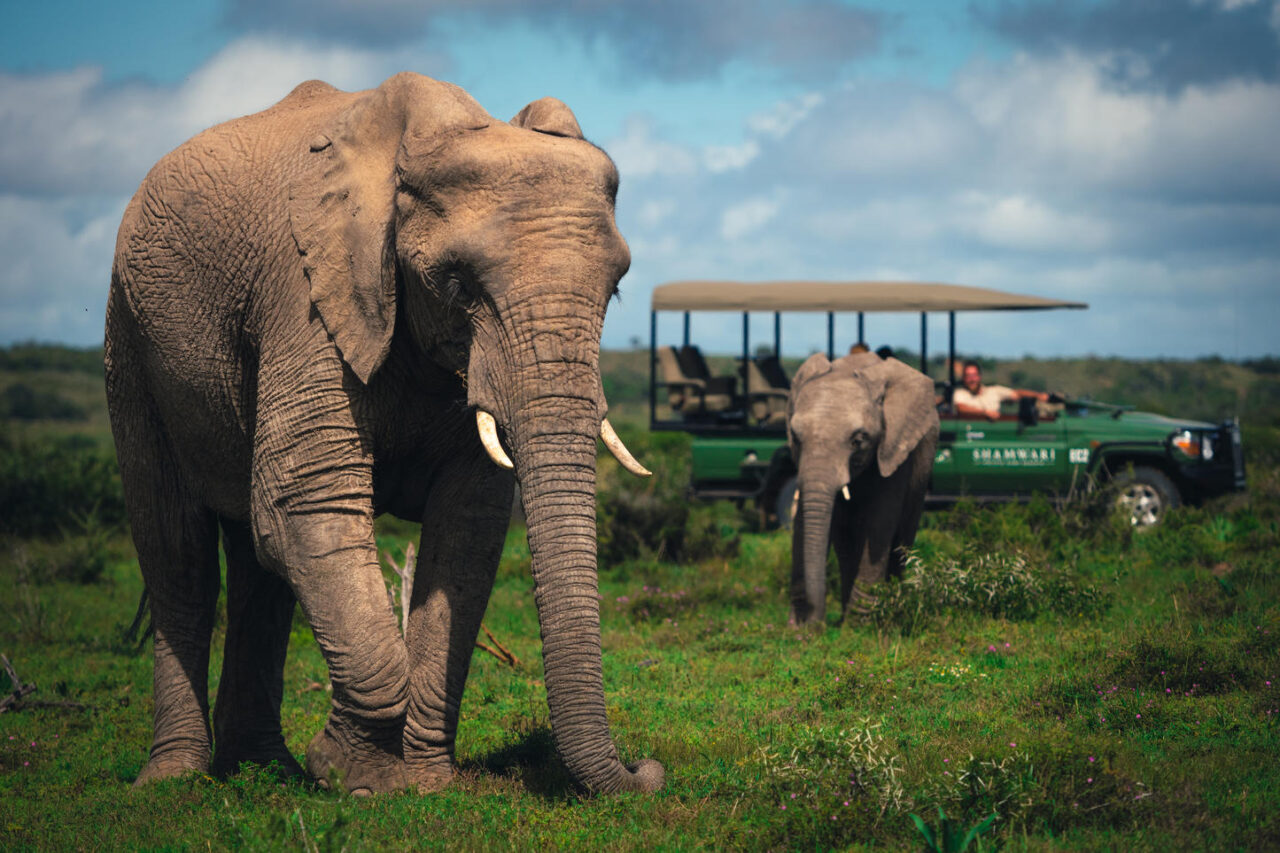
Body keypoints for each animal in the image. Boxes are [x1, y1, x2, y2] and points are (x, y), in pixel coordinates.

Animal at [104, 72, 663, 796]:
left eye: (616, 289)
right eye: (457, 282)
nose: (646, 768)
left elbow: (467, 528)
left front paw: (421, 783)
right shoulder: (306, 292)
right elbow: (304, 501)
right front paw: (352, 773)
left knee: (259, 575)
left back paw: (263, 767)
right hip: (129, 336)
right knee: (180, 556)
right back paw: (173, 778)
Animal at [785, 351, 939, 624]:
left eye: (858, 441)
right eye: (795, 437)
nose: (817, 623)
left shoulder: (894, 448)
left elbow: (879, 524)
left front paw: (860, 626)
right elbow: (805, 522)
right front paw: (800, 629)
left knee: (901, 541)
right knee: (846, 544)